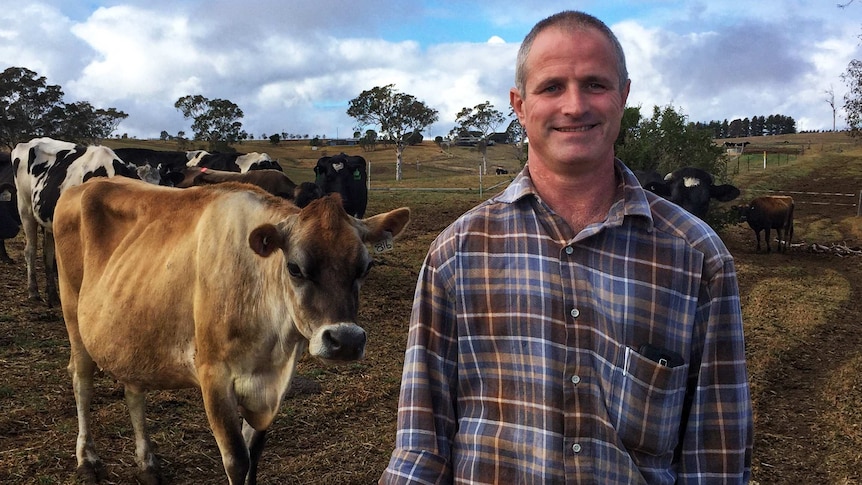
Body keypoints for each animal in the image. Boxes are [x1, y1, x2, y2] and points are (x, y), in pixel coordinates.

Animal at [54, 178, 412, 484]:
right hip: (73, 312)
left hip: (131, 331)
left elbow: (254, 454)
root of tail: (83, 186)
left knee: (133, 390)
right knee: (81, 379)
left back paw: (147, 465)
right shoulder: (214, 376)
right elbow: (237, 460)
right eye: (294, 267)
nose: (346, 340)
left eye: (365, 267)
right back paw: (87, 460)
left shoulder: (274, 385)